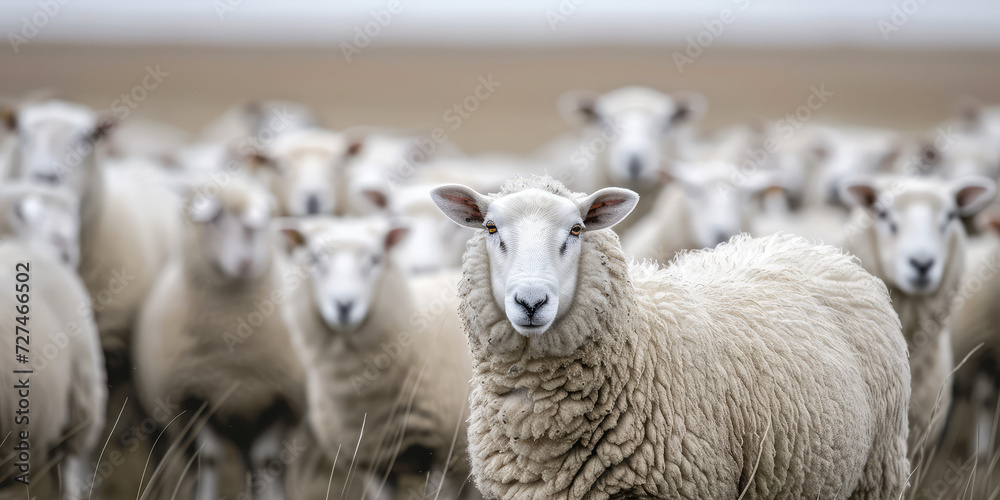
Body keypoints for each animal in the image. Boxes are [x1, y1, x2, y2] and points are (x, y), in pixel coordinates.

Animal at [132, 176, 305, 499]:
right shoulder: (193, 396)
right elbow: (209, 458)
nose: (246, 262)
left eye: (264, 220)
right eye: (215, 218)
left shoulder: (281, 399)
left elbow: (266, 459)